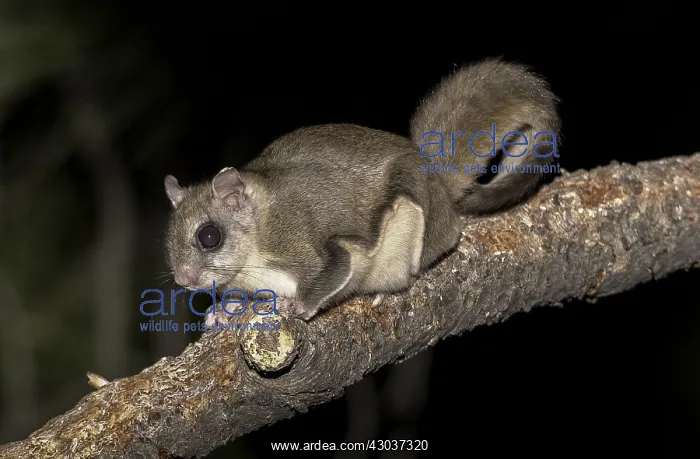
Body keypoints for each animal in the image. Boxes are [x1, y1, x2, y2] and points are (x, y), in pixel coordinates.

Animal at [163, 58, 561, 324]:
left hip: (414, 218)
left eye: (209, 236)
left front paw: (298, 305)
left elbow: (334, 268)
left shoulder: (303, 242)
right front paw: (223, 309)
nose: (182, 280)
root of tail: (436, 185)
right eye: (168, 239)